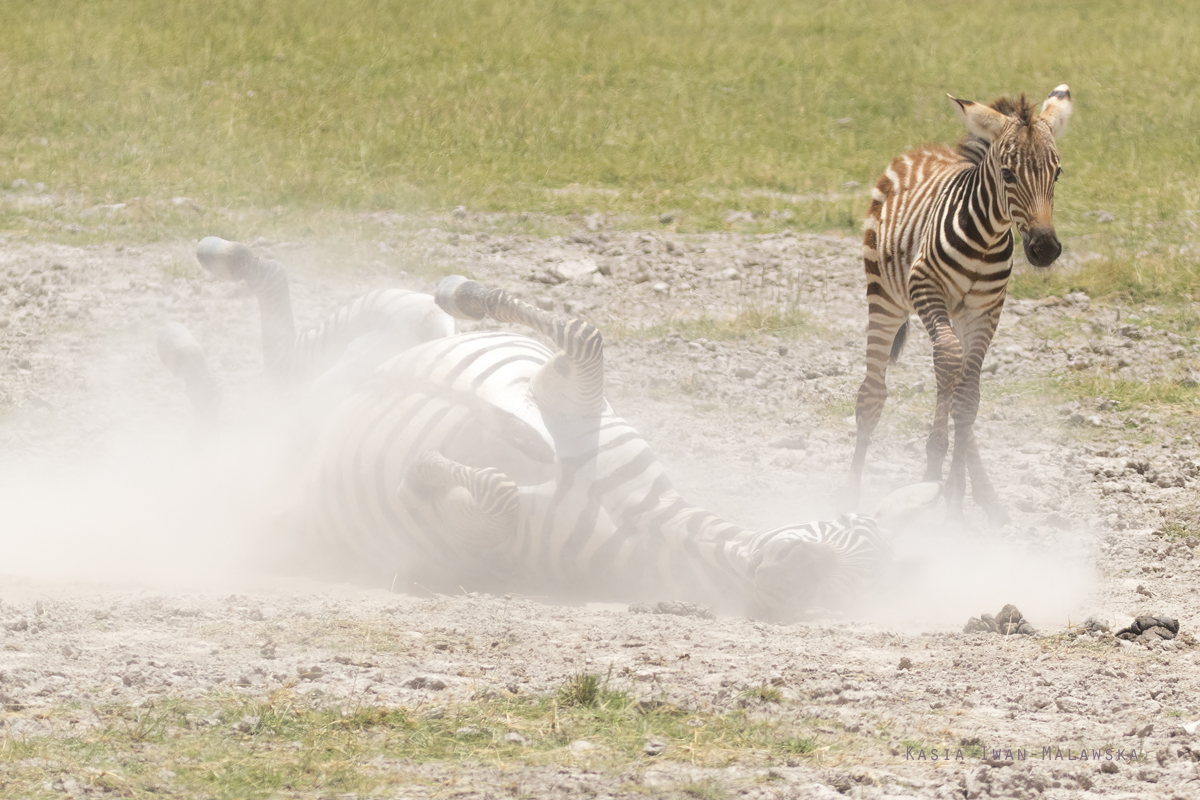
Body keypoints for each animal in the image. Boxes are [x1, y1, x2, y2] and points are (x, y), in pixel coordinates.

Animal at [159, 239, 940, 618]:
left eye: (844, 593)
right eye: (841, 529)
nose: (791, 568)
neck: (648, 520)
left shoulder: (494, 545)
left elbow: (499, 494)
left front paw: (430, 472)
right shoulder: (565, 390)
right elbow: (584, 337)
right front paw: (467, 292)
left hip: (285, 477)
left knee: (261, 403)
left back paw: (185, 347)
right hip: (400, 323)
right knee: (294, 339)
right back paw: (221, 266)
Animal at [849, 86, 1075, 525]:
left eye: (1057, 173)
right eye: (1008, 174)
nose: (1044, 249)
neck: (986, 237)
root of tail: (921, 150)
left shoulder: (986, 309)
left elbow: (967, 396)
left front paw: (953, 494)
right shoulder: (926, 286)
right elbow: (951, 371)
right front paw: (934, 471)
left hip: (951, 313)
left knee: (954, 381)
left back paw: (983, 497)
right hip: (886, 297)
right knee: (873, 394)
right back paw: (844, 496)